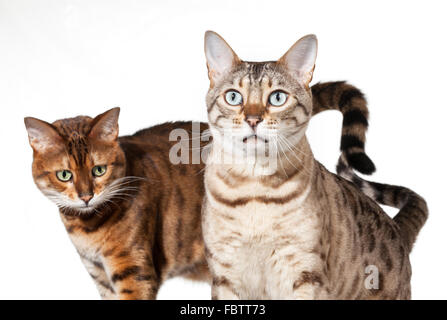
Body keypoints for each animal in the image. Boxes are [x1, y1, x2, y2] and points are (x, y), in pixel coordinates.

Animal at [23, 80, 374, 300]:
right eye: (65, 175)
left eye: (99, 170)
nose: (86, 195)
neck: (88, 226)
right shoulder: (101, 278)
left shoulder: (133, 273)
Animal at [202, 31, 428, 298]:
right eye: (233, 97)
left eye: (277, 97)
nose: (253, 119)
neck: (254, 188)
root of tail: (397, 228)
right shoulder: (224, 275)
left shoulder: (306, 272)